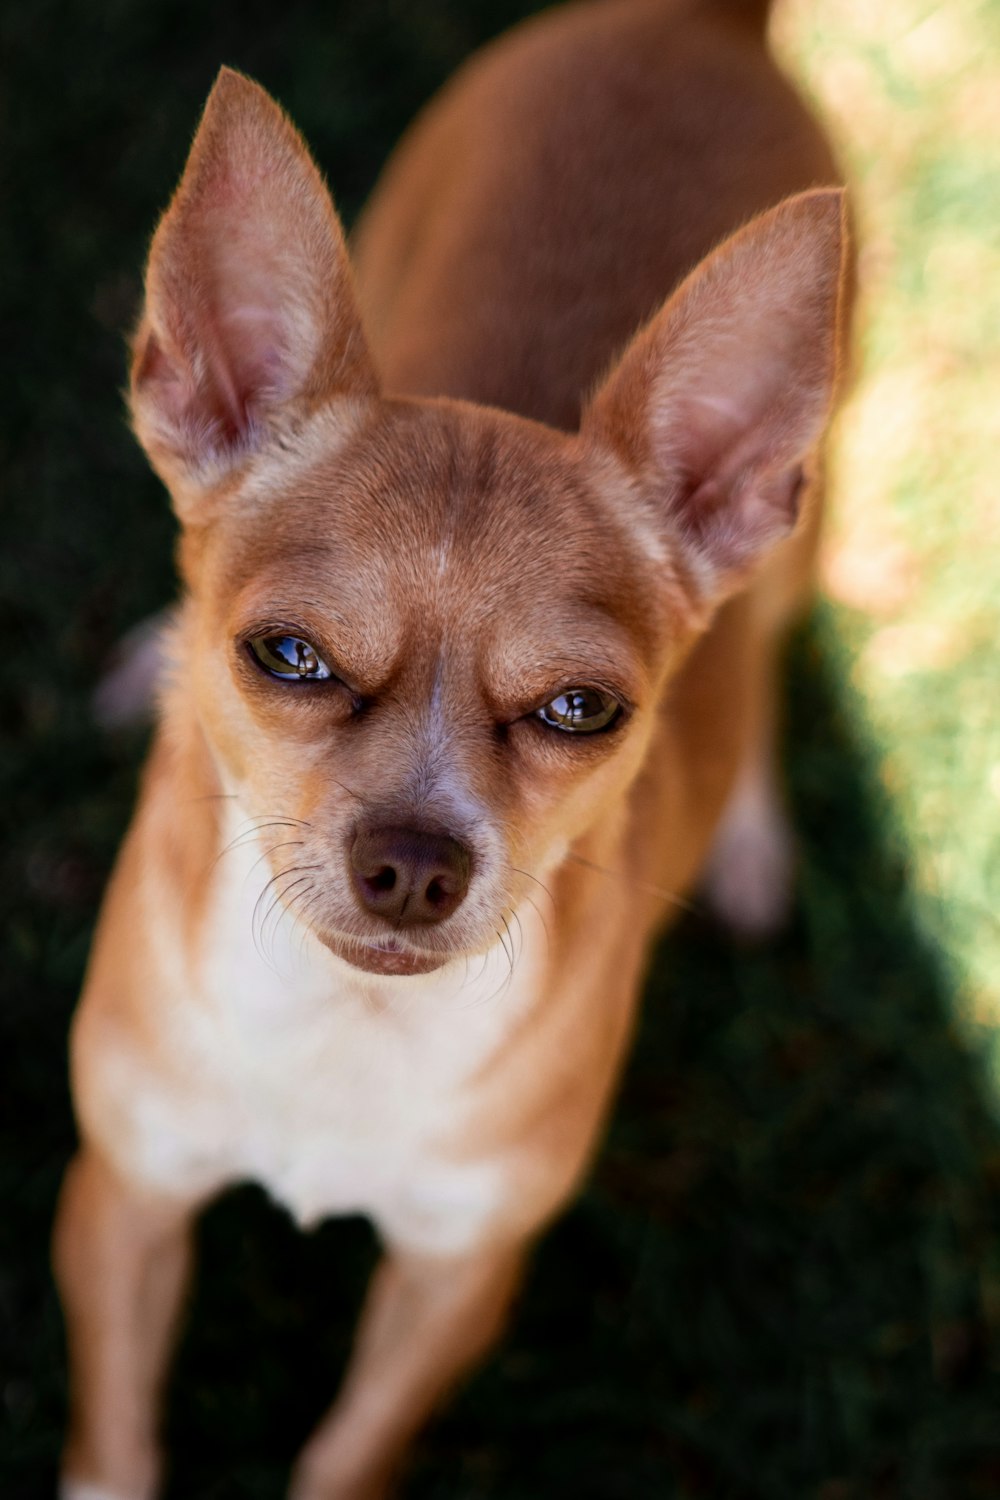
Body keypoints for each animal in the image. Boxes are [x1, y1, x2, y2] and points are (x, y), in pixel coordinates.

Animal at [54, 0, 851, 1494]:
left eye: (583, 710)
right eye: (286, 655)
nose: (415, 863)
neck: (348, 1028)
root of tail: (699, 21)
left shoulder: (450, 1284)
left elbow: (345, 1459)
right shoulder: (126, 1197)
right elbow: (116, 1448)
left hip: (796, 547)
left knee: (770, 664)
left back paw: (753, 846)